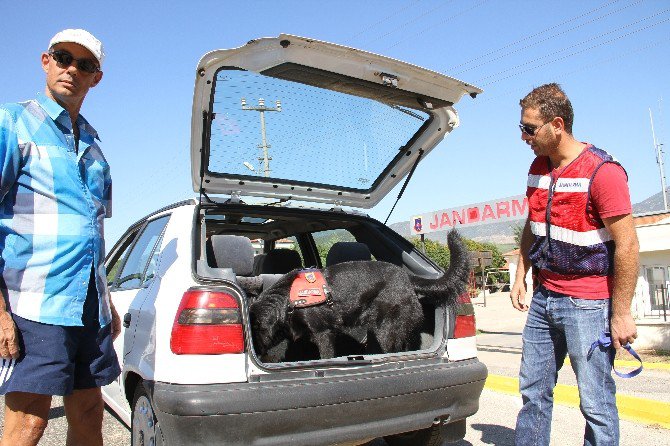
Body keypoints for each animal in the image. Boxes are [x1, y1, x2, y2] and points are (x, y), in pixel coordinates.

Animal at [249, 230, 470, 358]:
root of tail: (408, 278)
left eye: (256, 330)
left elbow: (326, 355)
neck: (287, 301)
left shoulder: (324, 333)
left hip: (387, 331)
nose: (257, 353)